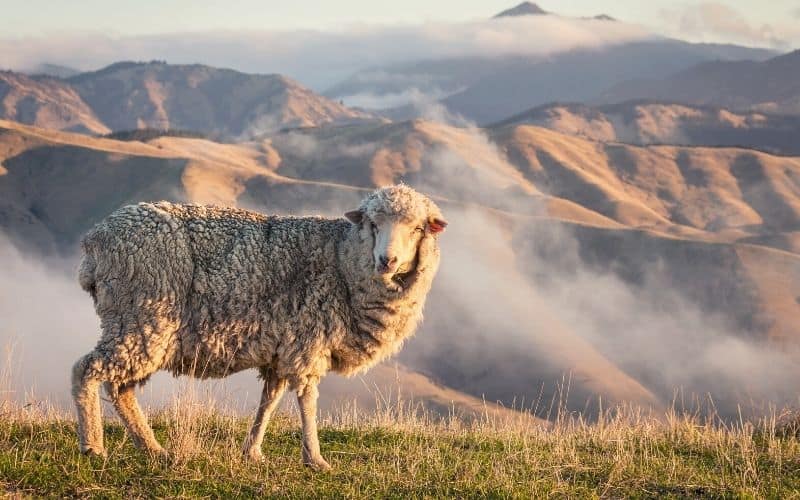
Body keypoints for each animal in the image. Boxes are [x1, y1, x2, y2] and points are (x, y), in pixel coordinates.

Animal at [72, 184, 446, 468]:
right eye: (372, 225)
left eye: (418, 228)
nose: (387, 261)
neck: (342, 261)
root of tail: (94, 242)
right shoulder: (308, 342)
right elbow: (307, 400)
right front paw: (315, 459)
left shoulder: (283, 347)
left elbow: (270, 400)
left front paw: (252, 450)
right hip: (141, 317)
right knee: (86, 370)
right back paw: (93, 446)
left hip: (138, 327)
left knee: (120, 389)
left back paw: (152, 448)